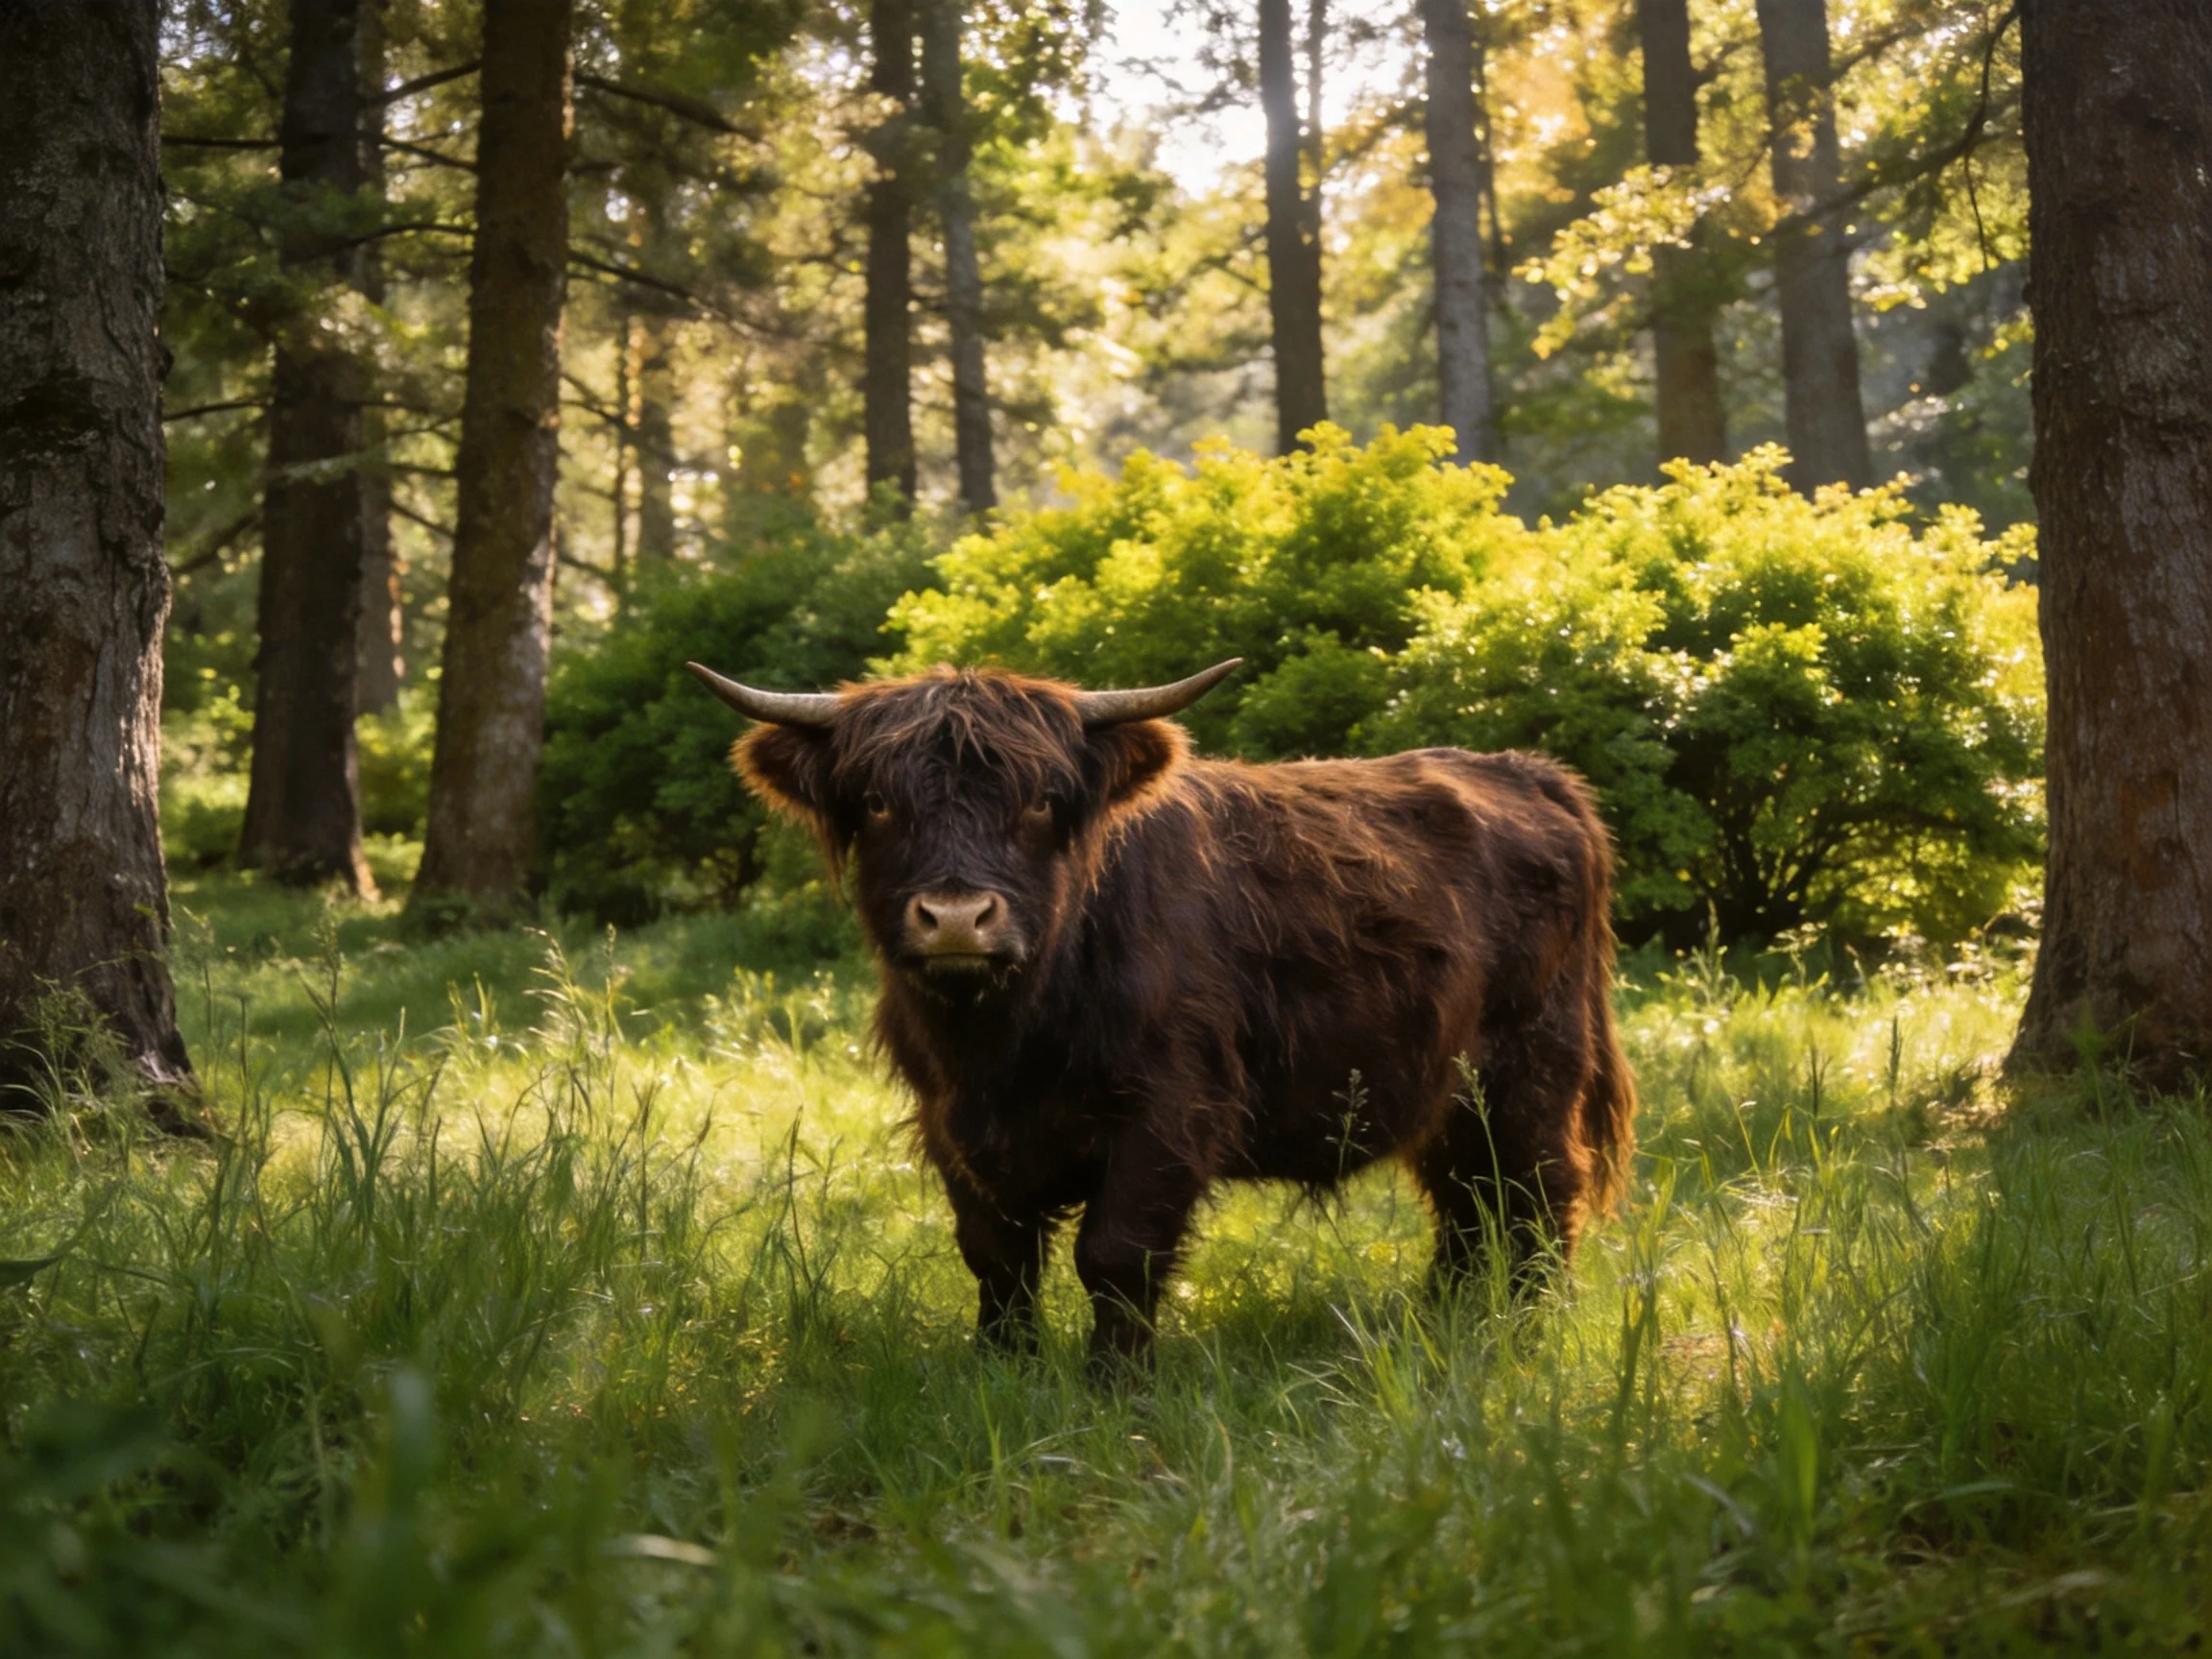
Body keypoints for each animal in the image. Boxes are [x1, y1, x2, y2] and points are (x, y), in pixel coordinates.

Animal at [689, 658, 1636, 1369]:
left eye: (1042, 800)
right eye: (881, 804)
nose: (957, 917)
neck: (1005, 1040)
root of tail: (1527, 772)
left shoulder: (1169, 1109)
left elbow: (1115, 1253)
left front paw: (1116, 1383)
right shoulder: (951, 1121)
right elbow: (996, 1254)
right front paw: (1002, 1366)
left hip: (1530, 1067)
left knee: (1537, 1190)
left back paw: (1525, 1324)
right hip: (1443, 1087)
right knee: (1464, 1198)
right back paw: (1441, 1314)